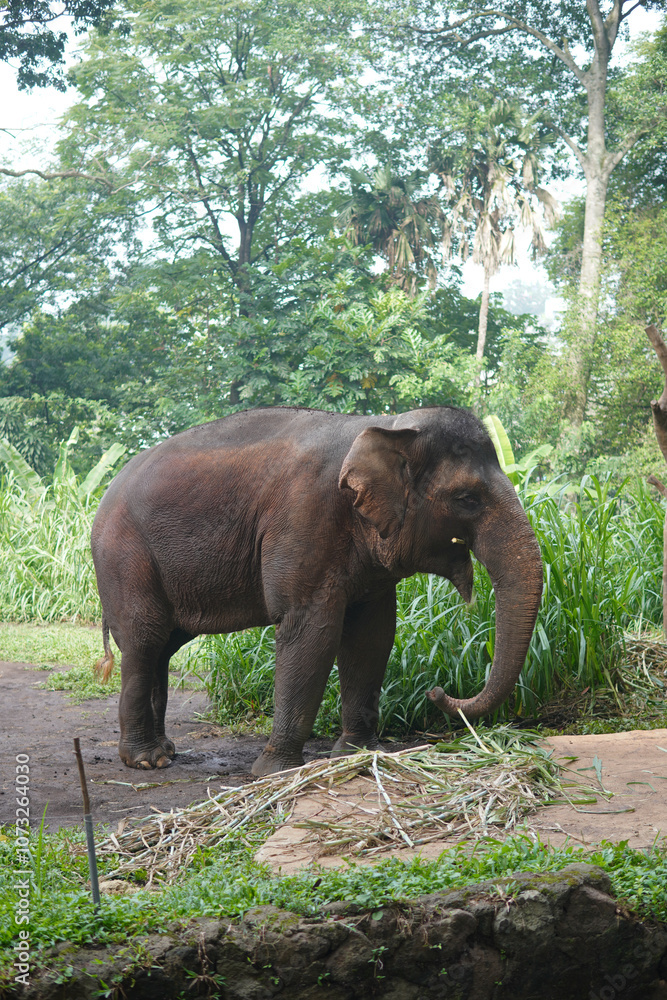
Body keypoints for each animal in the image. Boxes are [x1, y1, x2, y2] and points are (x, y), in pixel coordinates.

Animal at [91, 405, 543, 776]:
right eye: (467, 498)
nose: (438, 691)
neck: (387, 425)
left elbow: (372, 635)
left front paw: (359, 755)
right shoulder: (303, 519)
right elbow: (312, 632)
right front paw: (274, 771)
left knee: (164, 645)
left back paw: (166, 750)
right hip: (124, 556)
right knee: (145, 639)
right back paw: (146, 760)